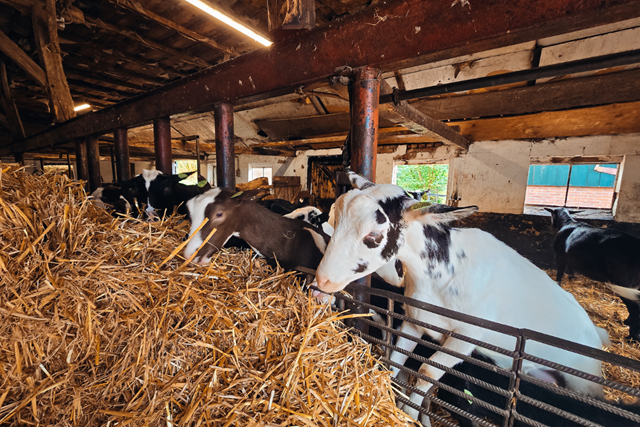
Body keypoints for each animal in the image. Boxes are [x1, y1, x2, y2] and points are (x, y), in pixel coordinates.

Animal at [316, 172, 608, 422]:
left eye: (374, 234)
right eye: (334, 220)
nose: (322, 279)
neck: (444, 272)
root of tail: (595, 332)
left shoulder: (466, 337)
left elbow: (427, 372)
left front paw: (411, 414)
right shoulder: (415, 319)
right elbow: (397, 360)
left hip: (584, 383)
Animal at [544, 206, 640, 342]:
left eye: (552, 215)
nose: (551, 224)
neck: (568, 222)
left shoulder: (560, 256)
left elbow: (559, 274)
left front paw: (558, 285)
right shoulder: (569, 257)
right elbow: (570, 268)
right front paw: (572, 277)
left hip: (623, 283)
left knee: (635, 308)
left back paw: (632, 337)